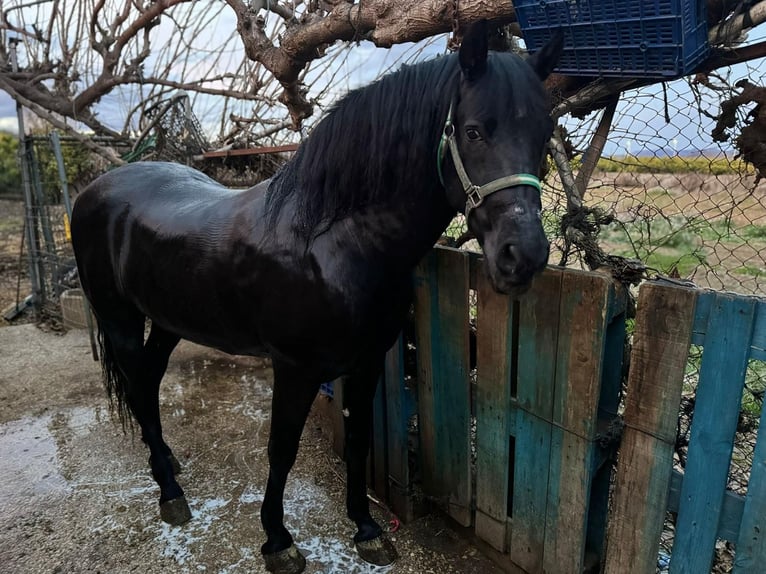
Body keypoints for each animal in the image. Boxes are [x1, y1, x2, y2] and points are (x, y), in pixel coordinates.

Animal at [72, 22, 564, 574]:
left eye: (544, 135)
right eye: (475, 130)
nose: (523, 256)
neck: (334, 241)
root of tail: (94, 190)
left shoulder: (367, 362)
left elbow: (358, 441)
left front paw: (366, 529)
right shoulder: (295, 368)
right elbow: (281, 449)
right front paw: (278, 540)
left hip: (167, 322)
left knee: (149, 384)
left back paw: (169, 465)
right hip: (119, 320)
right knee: (139, 388)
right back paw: (170, 493)